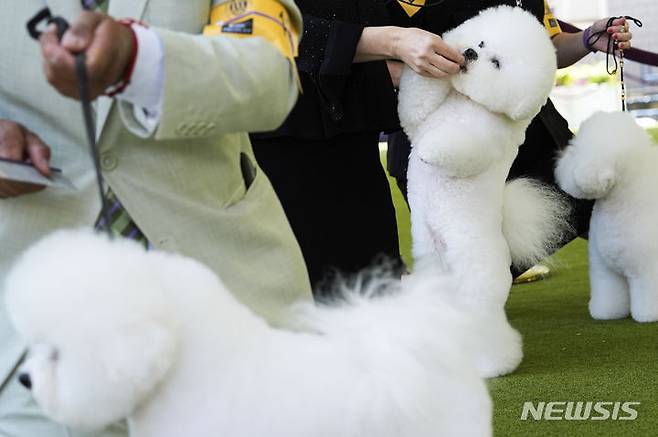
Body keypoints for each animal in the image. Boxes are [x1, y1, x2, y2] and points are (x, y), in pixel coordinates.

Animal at [552, 111, 656, 324]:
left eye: (576, 151)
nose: (559, 162)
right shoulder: (605, 271)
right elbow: (609, 295)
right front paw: (606, 314)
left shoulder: (649, 270)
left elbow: (648, 294)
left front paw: (648, 315)